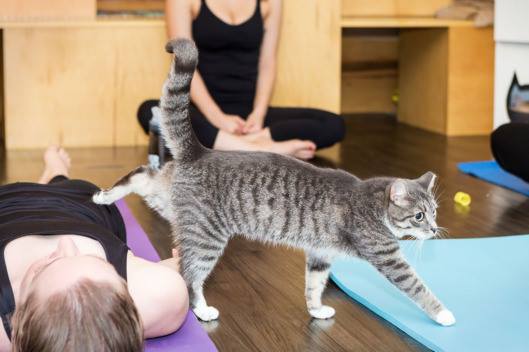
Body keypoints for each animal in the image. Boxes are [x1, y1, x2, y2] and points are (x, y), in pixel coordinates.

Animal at [94, 37, 454, 324]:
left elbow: (314, 285)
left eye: (435, 212)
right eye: (418, 215)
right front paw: (444, 314)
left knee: (143, 175)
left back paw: (103, 196)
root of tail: (199, 152)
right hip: (207, 235)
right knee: (189, 275)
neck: (373, 202)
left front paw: (316, 309)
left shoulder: (320, 253)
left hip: (167, 199)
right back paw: (202, 309)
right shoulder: (387, 257)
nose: (435, 229)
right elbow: (417, 286)